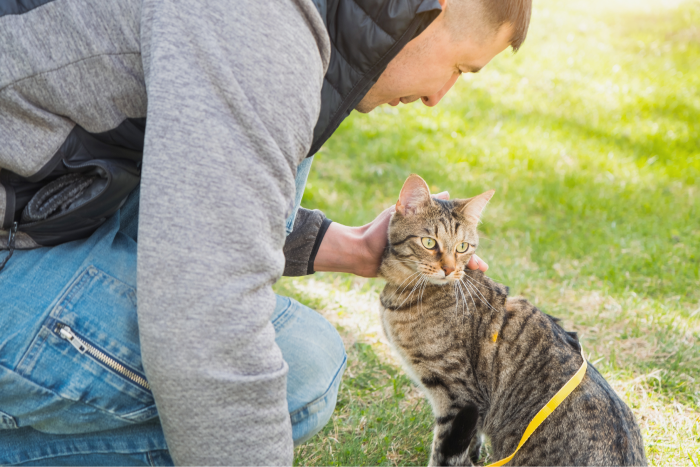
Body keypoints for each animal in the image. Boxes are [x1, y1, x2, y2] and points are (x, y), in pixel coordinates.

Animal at [378, 176, 644, 467]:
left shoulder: (459, 398)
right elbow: (471, 446)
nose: (449, 269)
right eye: (428, 242)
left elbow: (444, 455)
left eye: (462, 247)